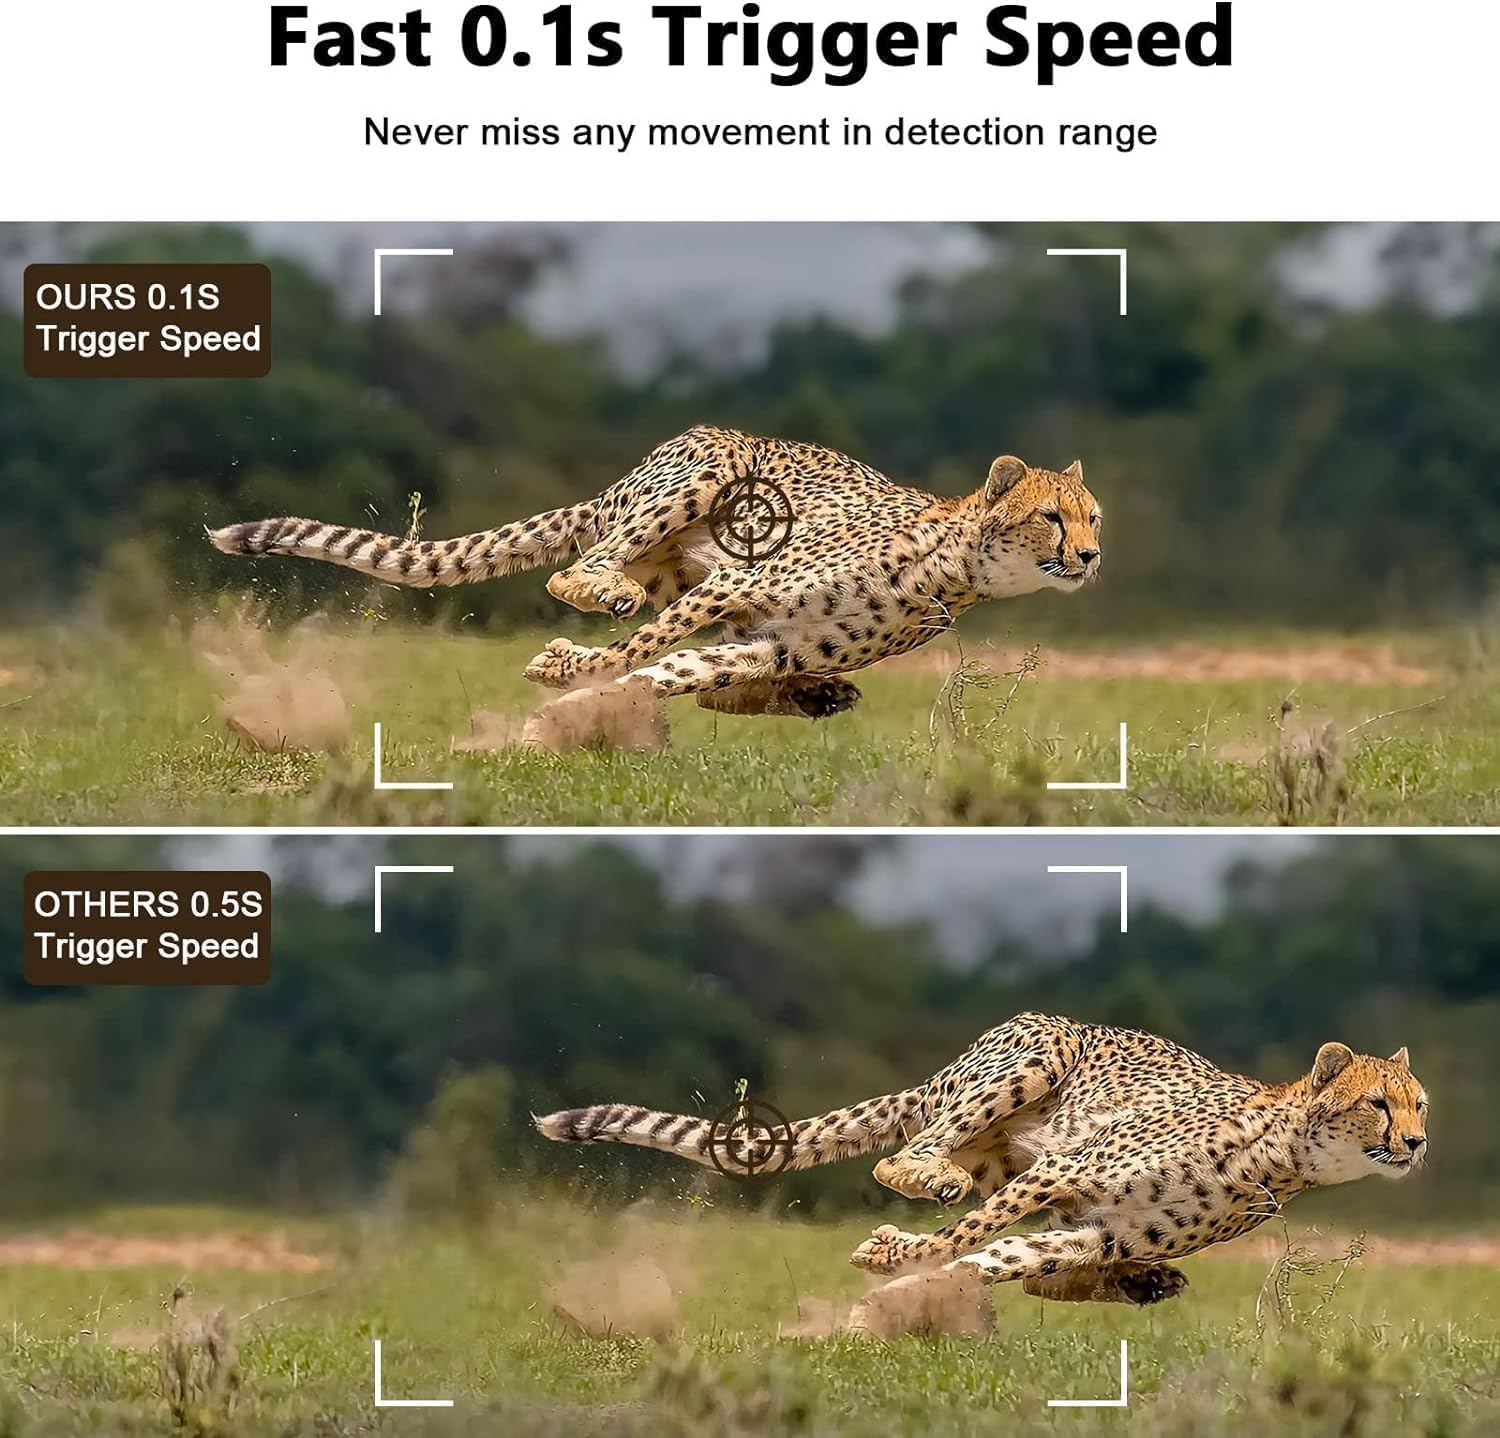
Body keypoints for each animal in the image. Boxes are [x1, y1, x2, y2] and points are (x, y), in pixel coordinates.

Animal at [209, 425, 1101, 719]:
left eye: (1095, 517)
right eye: (1054, 516)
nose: (1092, 557)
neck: (955, 567)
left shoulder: (764, 640)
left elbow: (676, 672)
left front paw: (583, 705)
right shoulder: (739, 588)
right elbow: (639, 653)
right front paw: (564, 673)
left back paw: (817, 697)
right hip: (712, 473)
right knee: (575, 576)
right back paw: (607, 593)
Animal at [535, 1012, 1428, 1307]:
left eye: (1420, 1104)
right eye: (1380, 1103)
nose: (1418, 1144)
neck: (1282, 1155)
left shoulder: (1093, 1229)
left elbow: (1003, 1256)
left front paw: (914, 1285)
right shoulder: (1067, 1174)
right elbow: (966, 1238)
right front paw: (893, 1258)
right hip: (1040, 1053)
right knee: (902, 1161)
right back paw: (931, 1179)